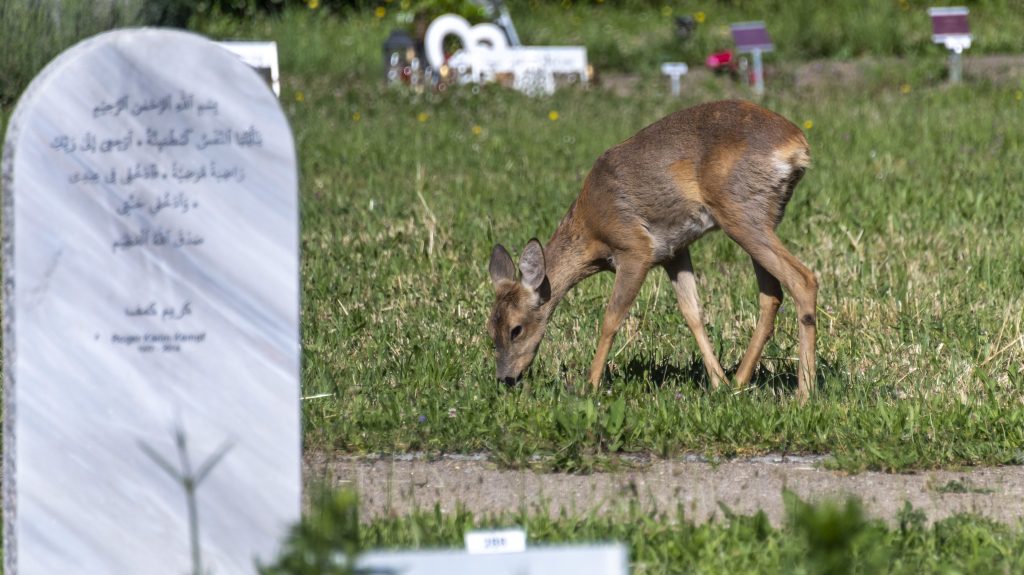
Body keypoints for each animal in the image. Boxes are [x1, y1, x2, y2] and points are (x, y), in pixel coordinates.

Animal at [483, 99, 819, 399]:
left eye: (516, 329)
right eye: (490, 329)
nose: (506, 379)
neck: (591, 230)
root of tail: (797, 146)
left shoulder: (635, 248)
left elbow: (612, 318)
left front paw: (590, 385)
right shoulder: (674, 251)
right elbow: (692, 313)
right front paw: (717, 382)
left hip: (740, 212)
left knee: (803, 279)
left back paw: (804, 393)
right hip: (763, 216)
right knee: (772, 294)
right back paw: (738, 382)